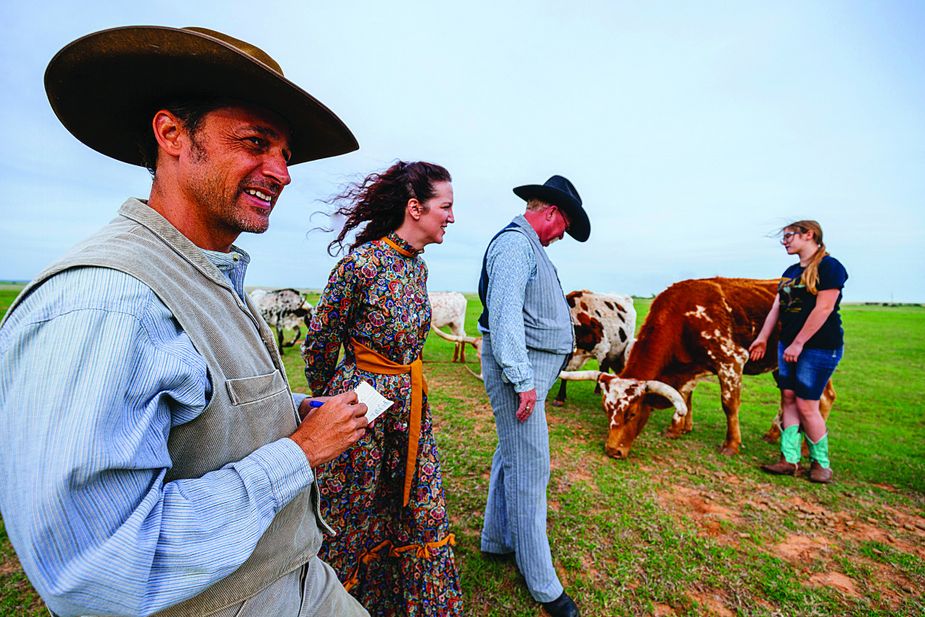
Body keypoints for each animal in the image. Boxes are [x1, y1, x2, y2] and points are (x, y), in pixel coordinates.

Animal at [556, 278, 836, 458]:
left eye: (633, 413)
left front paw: (731, 445)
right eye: (607, 410)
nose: (612, 450)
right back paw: (774, 435)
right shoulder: (687, 366)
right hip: (782, 365)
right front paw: (678, 428)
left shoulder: (731, 360)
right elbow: (686, 396)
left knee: (823, 397)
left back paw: (806, 448)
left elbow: (729, 405)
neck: (685, 314)